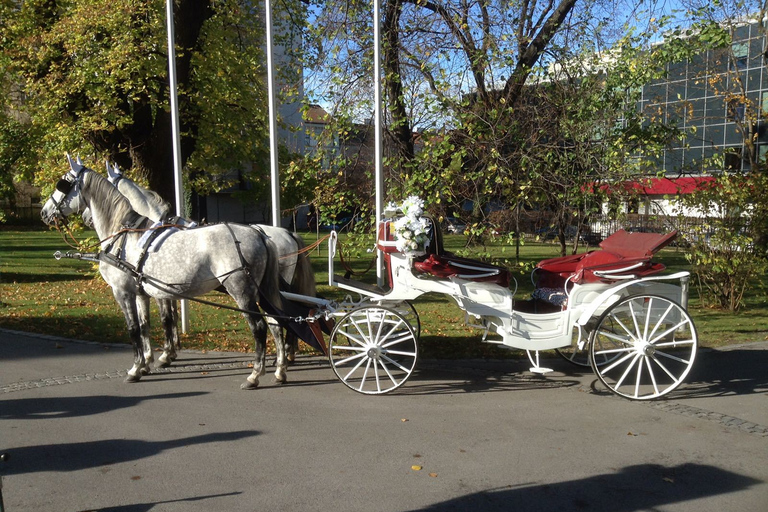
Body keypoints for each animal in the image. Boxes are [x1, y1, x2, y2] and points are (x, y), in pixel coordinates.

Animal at [45, 156, 292, 388]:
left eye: (64, 182)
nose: (45, 212)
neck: (123, 233)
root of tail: (259, 234)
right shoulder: (144, 292)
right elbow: (147, 325)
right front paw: (147, 363)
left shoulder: (124, 292)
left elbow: (136, 328)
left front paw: (138, 368)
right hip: (261, 292)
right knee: (276, 322)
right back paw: (280, 370)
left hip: (242, 291)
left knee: (259, 327)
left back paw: (255, 375)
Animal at [96, 161, 318, 364]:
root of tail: (287, 233)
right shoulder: (165, 286)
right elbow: (170, 317)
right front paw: (169, 350)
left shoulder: (156, 287)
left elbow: (166, 318)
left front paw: (166, 353)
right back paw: (287, 354)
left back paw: (285, 354)